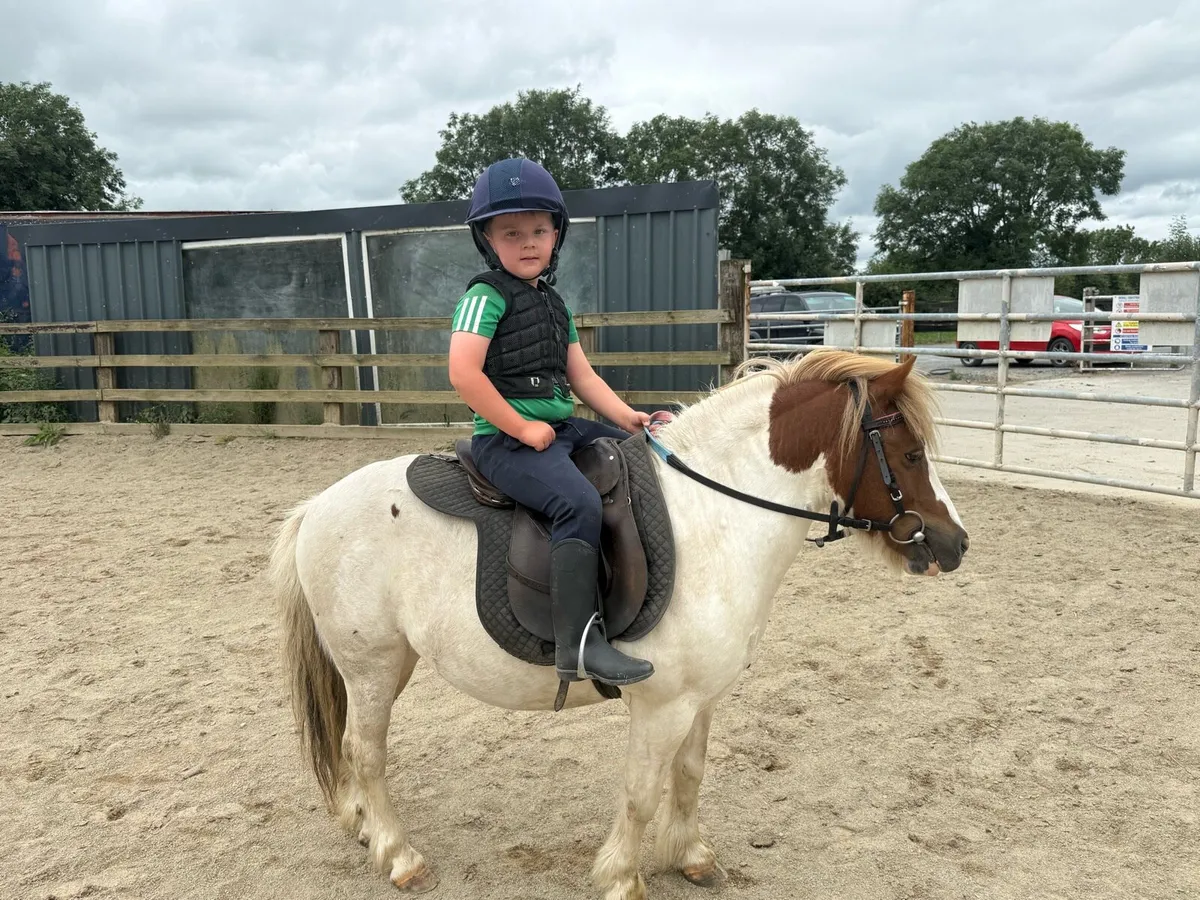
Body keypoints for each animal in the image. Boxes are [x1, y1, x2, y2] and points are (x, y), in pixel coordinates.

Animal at [269, 349, 970, 900]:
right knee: (365, 752)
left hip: (384, 667)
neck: (712, 517)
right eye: (910, 454)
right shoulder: (661, 705)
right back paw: (399, 856)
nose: (955, 543)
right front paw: (621, 878)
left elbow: (689, 775)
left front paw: (691, 857)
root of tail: (317, 506)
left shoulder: (701, 699)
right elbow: (639, 791)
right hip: (372, 666)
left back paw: (363, 824)